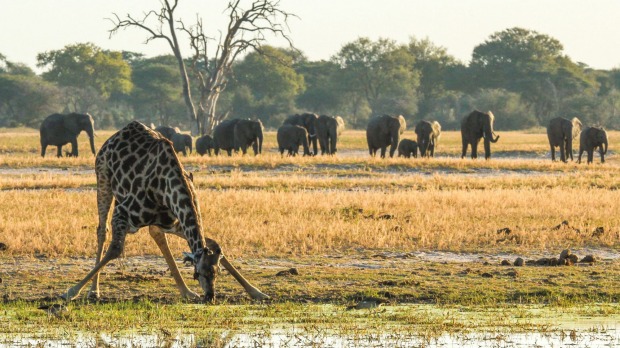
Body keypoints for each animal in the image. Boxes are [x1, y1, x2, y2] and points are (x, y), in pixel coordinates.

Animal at [59, 121, 268, 302]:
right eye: (197, 273)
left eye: (217, 273)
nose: (210, 296)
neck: (168, 189)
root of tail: (113, 136)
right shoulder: (122, 213)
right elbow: (115, 249)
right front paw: (70, 292)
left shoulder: (175, 221)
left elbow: (211, 242)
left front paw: (256, 292)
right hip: (103, 179)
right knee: (102, 230)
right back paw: (94, 291)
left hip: (155, 218)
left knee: (156, 233)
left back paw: (186, 291)